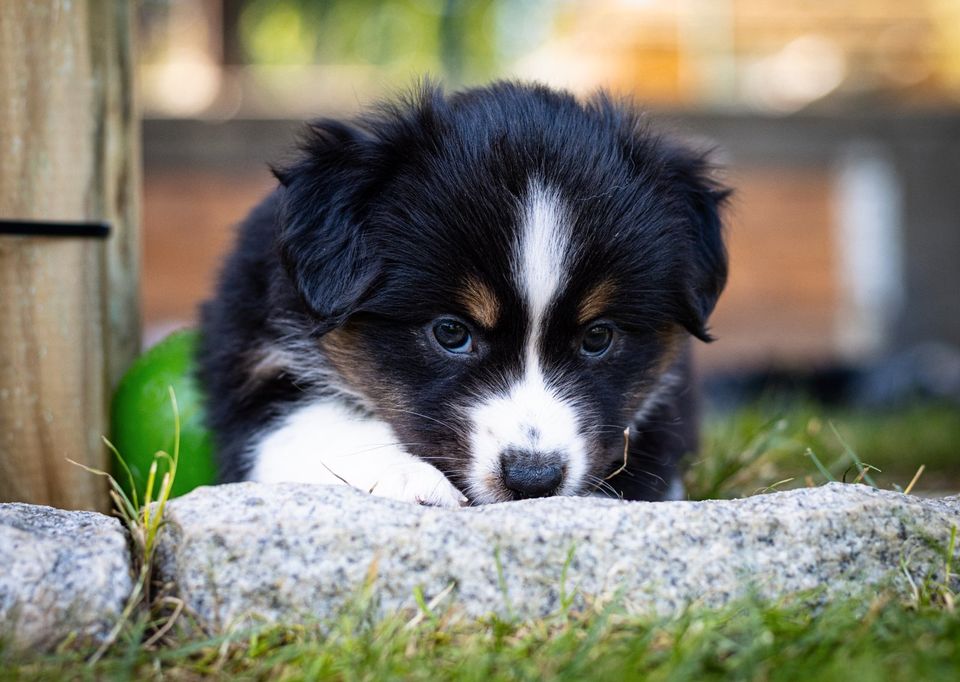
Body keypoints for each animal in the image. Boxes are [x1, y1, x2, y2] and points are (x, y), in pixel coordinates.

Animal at [197, 79, 728, 504]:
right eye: (451, 332)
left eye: (598, 337)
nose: (533, 480)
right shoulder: (254, 362)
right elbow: (307, 422)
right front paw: (407, 476)